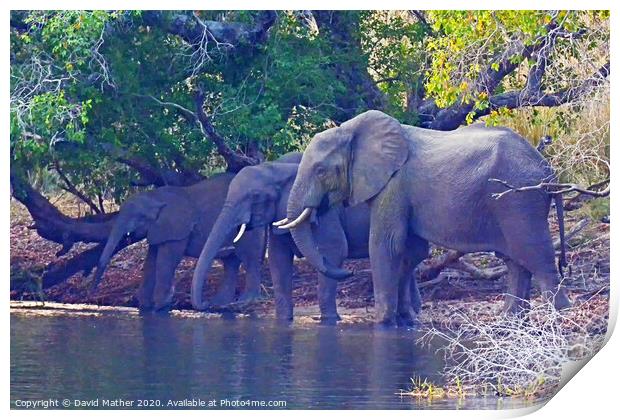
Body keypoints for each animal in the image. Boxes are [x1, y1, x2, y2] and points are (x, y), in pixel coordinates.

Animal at [93, 172, 266, 314]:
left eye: (137, 218)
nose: (92, 292)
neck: (156, 196)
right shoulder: (159, 230)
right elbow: (151, 261)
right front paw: (145, 307)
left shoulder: (177, 229)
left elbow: (167, 260)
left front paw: (160, 306)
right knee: (231, 262)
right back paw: (218, 304)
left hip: (250, 229)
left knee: (249, 258)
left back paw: (243, 301)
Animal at [191, 155, 424, 324]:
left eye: (255, 196)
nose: (208, 306)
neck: (276, 167)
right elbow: (278, 260)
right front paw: (284, 320)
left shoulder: (325, 211)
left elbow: (334, 250)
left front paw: (330, 321)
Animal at [280, 109, 572, 324]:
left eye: (320, 171)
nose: (348, 272)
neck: (350, 131)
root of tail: (548, 169)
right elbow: (412, 250)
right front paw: (405, 320)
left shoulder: (394, 184)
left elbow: (386, 245)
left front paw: (382, 323)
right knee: (516, 261)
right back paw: (510, 321)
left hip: (520, 200)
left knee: (536, 255)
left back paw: (558, 317)